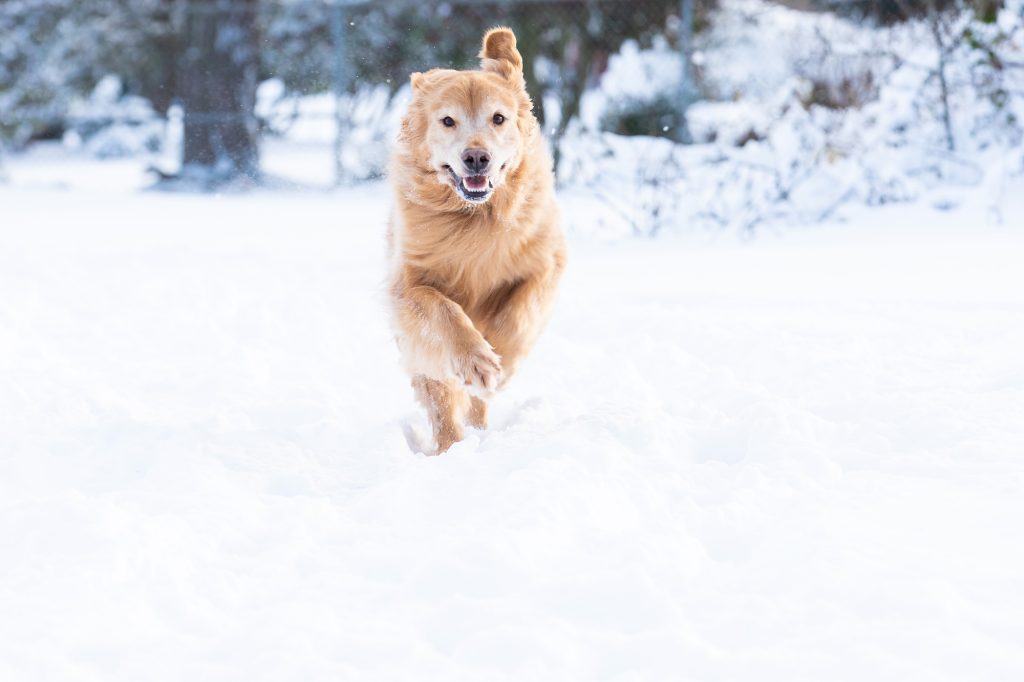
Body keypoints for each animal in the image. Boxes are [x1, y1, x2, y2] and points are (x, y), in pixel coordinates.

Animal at [387, 26, 569, 454]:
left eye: (498, 118)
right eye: (448, 121)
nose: (476, 158)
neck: (477, 219)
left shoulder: (544, 265)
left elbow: (517, 315)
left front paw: (498, 360)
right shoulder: (408, 285)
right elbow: (444, 310)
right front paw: (476, 362)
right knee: (441, 399)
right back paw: (451, 447)